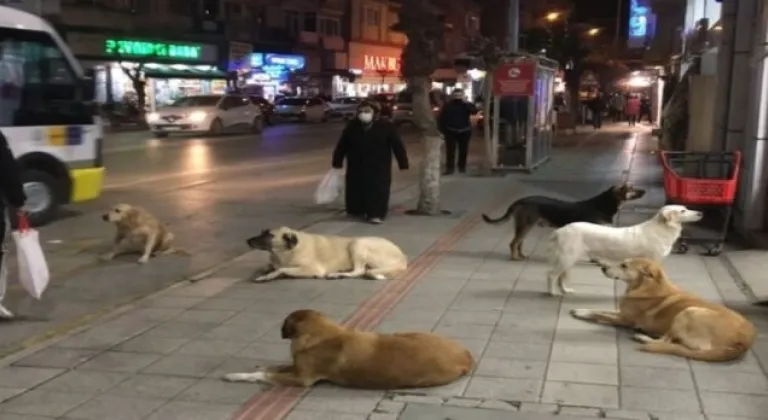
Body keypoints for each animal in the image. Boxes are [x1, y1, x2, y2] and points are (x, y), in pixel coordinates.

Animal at [222, 308, 474, 388]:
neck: (320, 333)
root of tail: (466, 355)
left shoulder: (302, 379)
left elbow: (266, 375)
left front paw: (238, 375)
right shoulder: (297, 367)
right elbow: (277, 366)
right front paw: (259, 366)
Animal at [249, 226, 412, 282]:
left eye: (269, 235)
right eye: (262, 232)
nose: (247, 240)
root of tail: (403, 257)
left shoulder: (312, 269)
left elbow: (281, 269)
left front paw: (268, 276)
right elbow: (268, 266)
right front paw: (263, 272)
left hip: (358, 243)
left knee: (359, 271)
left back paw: (337, 274)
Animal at [484, 182, 644, 260]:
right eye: (631, 188)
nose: (645, 191)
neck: (603, 205)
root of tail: (520, 201)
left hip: (525, 225)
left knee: (519, 243)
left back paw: (521, 255)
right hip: (525, 225)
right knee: (513, 243)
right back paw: (514, 258)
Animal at [544, 203, 704, 296]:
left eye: (686, 208)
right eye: (683, 211)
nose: (701, 213)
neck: (661, 228)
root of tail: (561, 230)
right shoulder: (654, 259)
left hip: (569, 259)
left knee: (561, 277)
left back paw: (565, 290)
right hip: (567, 258)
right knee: (552, 275)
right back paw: (552, 293)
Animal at [568, 258, 756, 362]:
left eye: (624, 266)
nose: (603, 267)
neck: (645, 286)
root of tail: (744, 342)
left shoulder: (625, 319)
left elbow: (599, 313)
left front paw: (582, 313)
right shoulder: (622, 313)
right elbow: (600, 309)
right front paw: (582, 308)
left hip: (689, 312)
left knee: (668, 341)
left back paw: (643, 338)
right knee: (671, 341)